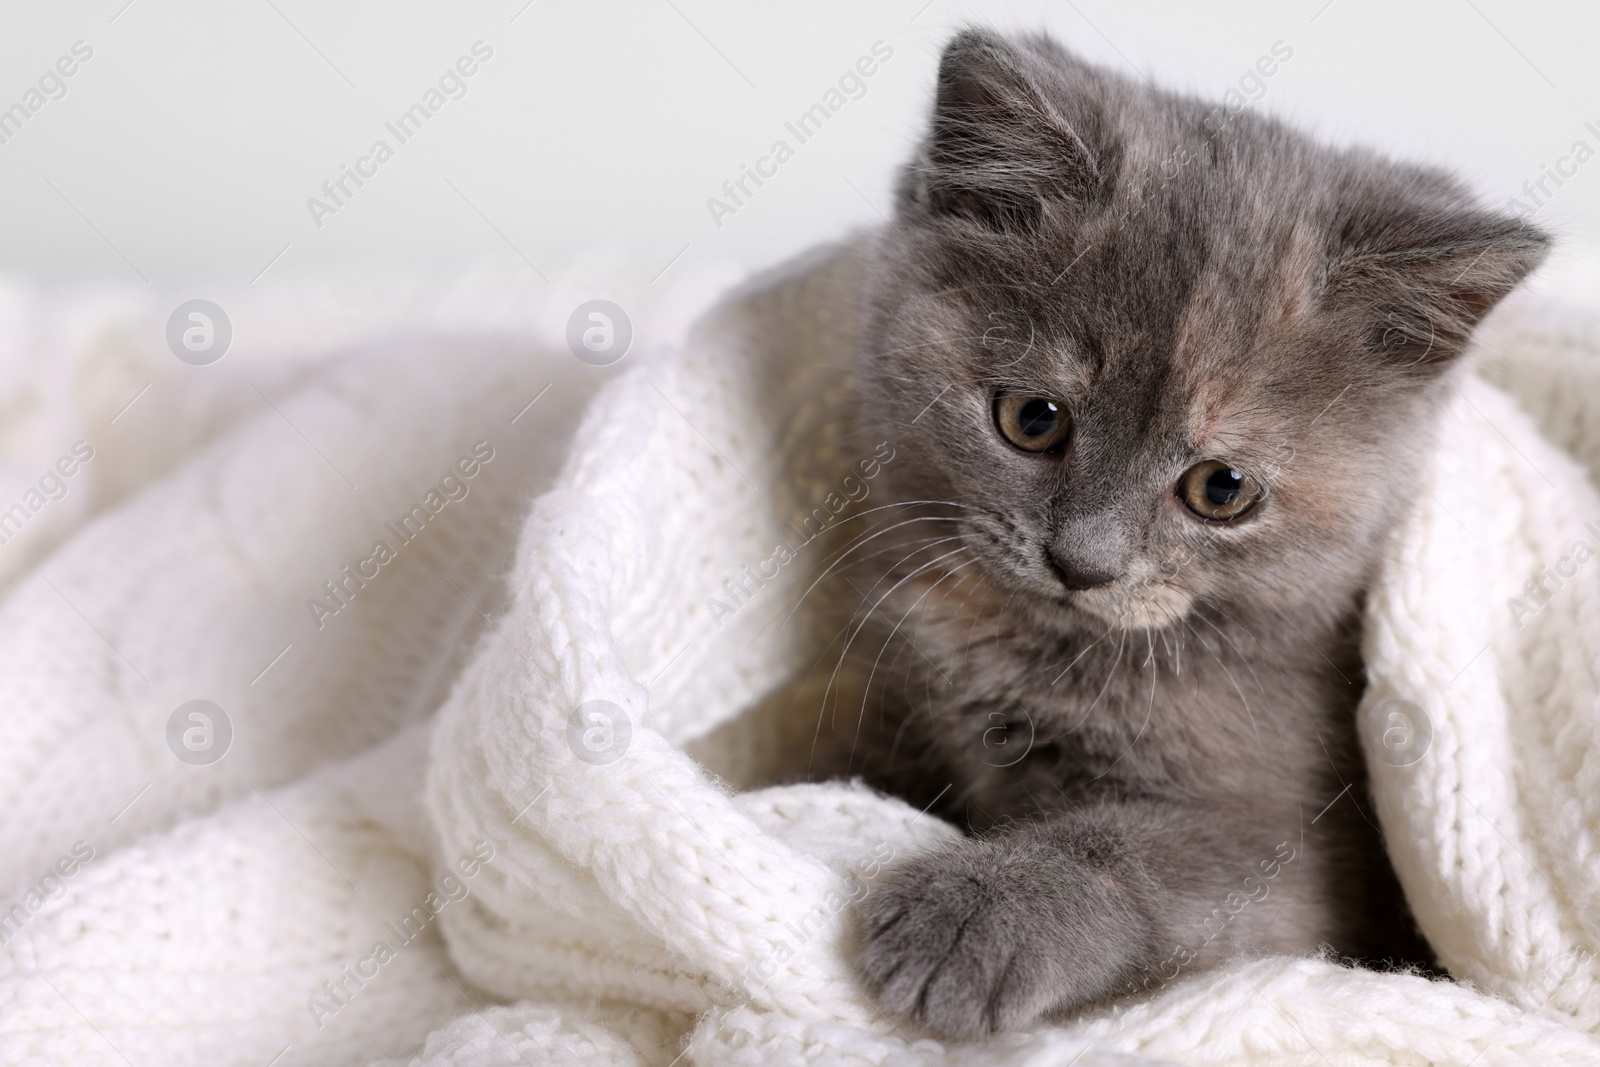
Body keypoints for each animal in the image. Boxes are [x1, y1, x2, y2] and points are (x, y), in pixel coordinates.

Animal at [825, 27, 1548, 1043]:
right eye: (1031, 419)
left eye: (1222, 489)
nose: (1081, 562)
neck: (1032, 649)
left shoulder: (1298, 852)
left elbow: (1139, 850)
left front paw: (975, 912)